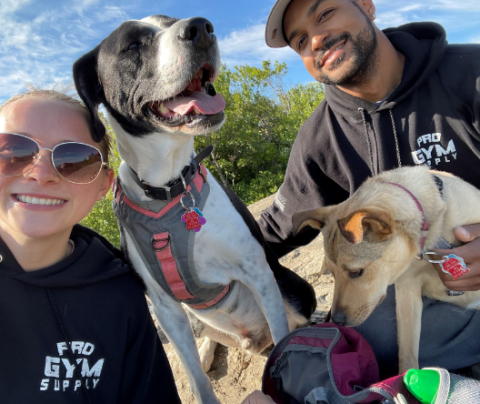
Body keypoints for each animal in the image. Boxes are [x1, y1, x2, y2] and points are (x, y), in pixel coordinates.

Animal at [74, 15, 316, 404]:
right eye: (131, 45)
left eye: (171, 22)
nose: (200, 28)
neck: (170, 187)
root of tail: (252, 340)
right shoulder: (166, 309)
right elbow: (200, 384)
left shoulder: (259, 273)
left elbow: (283, 338)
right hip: (192, 320)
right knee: (207, 344)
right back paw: (204, 353)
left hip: (290, 286)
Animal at [290, 166, 480, 372]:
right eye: (331, 273)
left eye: (356, 272)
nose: (336, 321)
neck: (431, 234)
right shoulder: (407, 288)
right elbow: (407, 352)